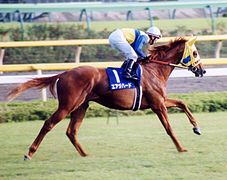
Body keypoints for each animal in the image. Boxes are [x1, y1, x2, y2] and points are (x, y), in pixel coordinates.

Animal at [7, 36, 206, 160]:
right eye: (195, 53)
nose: (202, 70)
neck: (155, 69)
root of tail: (63, 73)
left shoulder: (159, 101)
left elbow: (182, 103)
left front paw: (196, 128)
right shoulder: (157, 105)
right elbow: (169, 128)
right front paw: (181, 148)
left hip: (81, 106)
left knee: (71, 131)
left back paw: (85, 154)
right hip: (67, 105)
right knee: (48, 124)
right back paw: (29, 153)